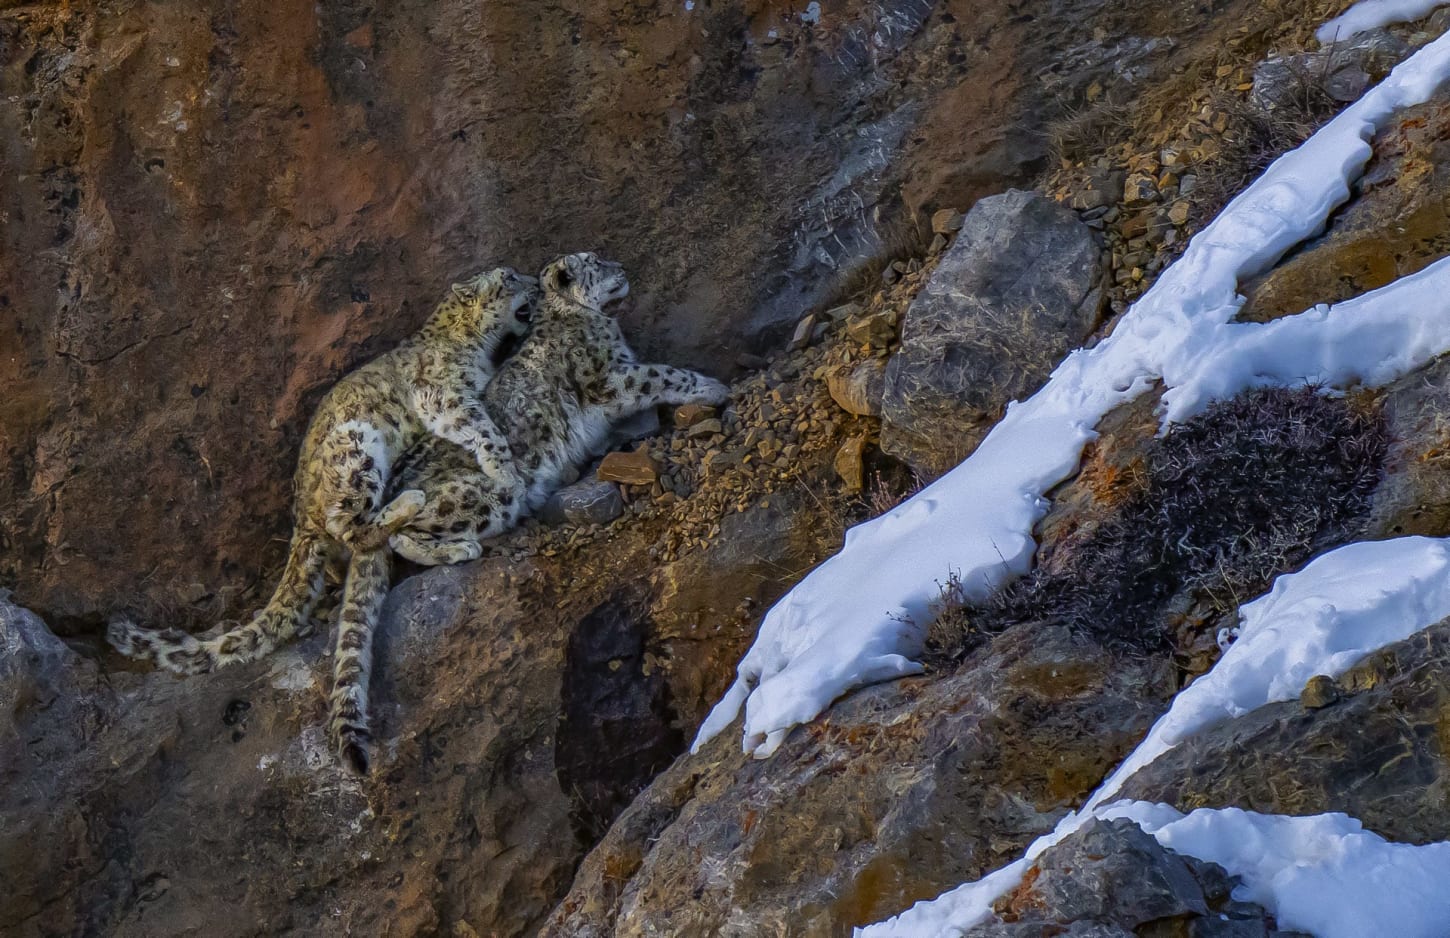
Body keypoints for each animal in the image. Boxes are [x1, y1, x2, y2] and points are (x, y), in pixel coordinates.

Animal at [108, 266, 539, 773]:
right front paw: (505, 471)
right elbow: (483, 428)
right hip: (355, 449)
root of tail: (301, 520)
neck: (471, 344)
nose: (535, 282)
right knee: (355, 527)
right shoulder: (444, 395)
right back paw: (420, 512)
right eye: (509, 277)